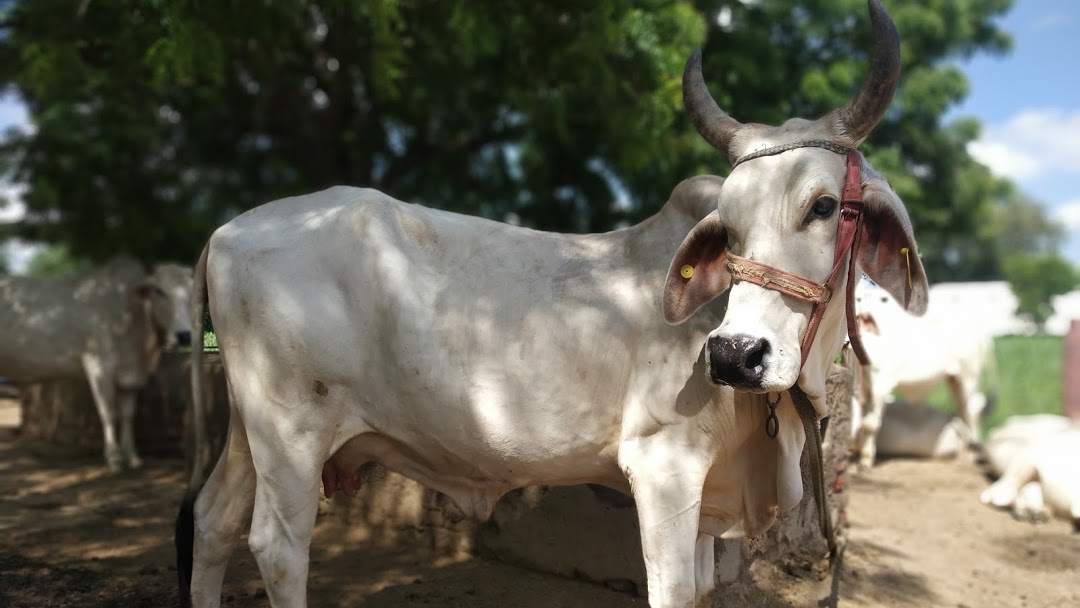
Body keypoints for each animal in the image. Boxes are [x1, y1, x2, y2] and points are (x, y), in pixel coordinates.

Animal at [0, 257, 192, 470]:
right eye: (159, 291)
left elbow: (127, 414)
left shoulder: (129, 377)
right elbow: (109, 413)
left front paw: (132, 457)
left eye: (192, 289)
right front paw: (114, 458)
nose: (184, 336)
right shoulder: (99, 365)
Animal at [851, 282, 993, 470]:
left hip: (969, 374)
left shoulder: (881, 384)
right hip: (954, 378)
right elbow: (862, 421)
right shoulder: (866, 388)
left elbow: (870, 424)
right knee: (962, 408)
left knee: (971, 408)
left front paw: (866, 460)